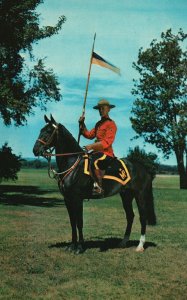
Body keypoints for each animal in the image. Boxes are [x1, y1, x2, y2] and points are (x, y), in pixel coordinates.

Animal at [32, 115, 156, 253]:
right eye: (41, 130)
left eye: (48, 131)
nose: (35, 150)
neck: (72, 164)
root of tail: (144, 168)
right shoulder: (67, 199)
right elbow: (72, 222)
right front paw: (72, 246)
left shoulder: (77, 198)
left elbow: (79, 222)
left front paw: (80, 247)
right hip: (126, 195)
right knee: (130, 216)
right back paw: (123, 242)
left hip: (140, 195)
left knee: (142, 217)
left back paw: (140, 245)